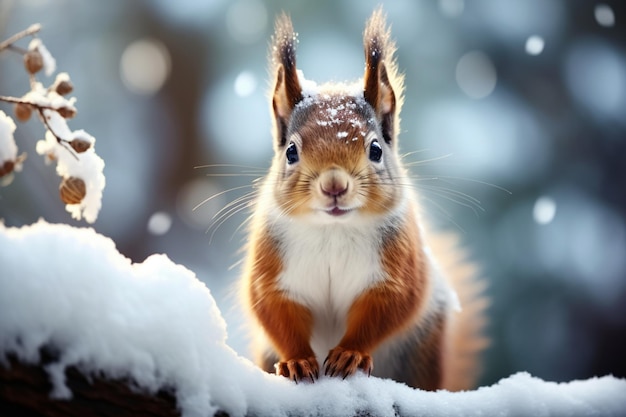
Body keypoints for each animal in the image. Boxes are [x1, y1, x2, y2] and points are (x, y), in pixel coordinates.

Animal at [239, 7, 488, 390]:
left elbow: (390, 307)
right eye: (291, 152)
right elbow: (273, 308)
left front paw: (350, 353)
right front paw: (296, 359)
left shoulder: (398, 266)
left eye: (375, 149)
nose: (334, 186)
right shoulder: (272, 267)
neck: (333, 231)